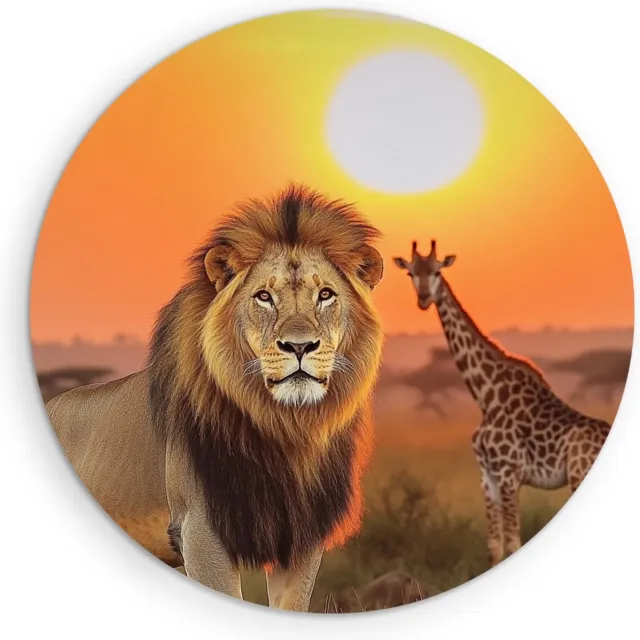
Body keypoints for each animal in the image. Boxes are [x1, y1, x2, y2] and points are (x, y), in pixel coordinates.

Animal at [393, 240, 612, 566]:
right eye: (410, 273)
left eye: (436, 271)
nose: (423, 299)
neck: (486, 394)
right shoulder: (488, 478)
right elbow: (495, 547)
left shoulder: (509, 474)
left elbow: (513, 543)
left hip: (577, 474)